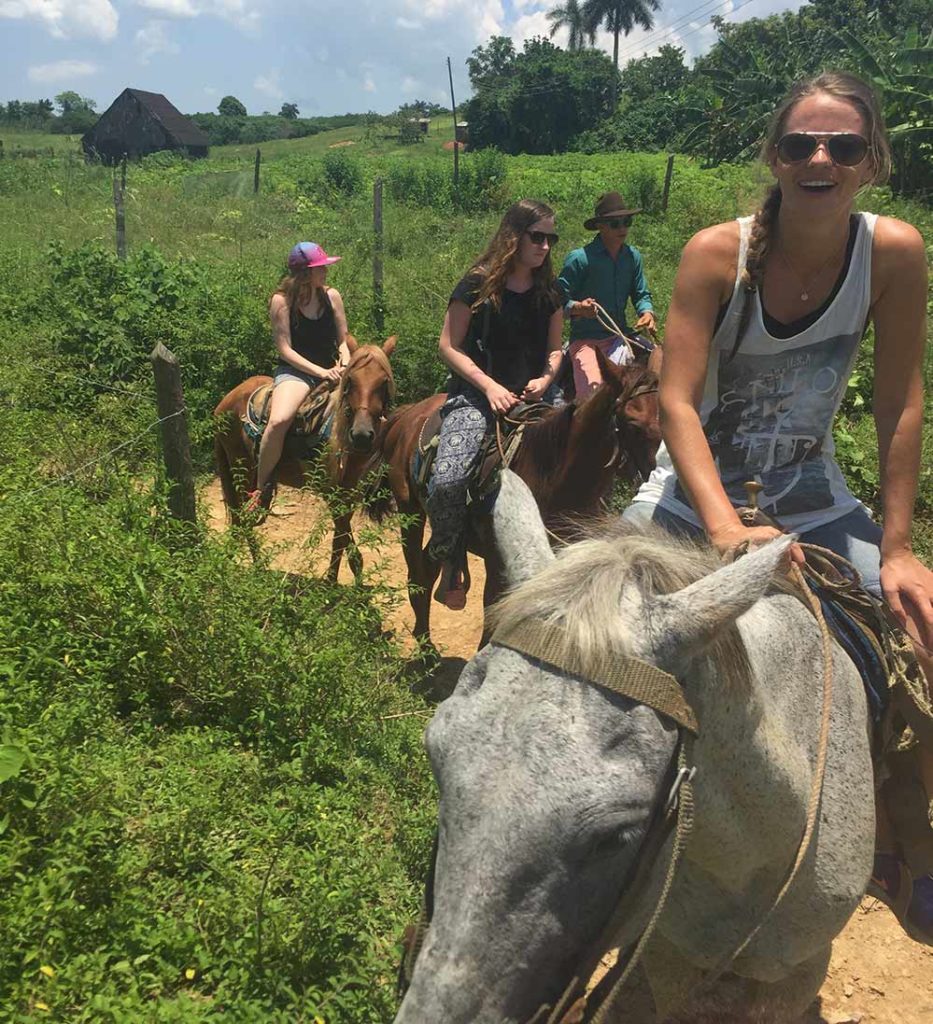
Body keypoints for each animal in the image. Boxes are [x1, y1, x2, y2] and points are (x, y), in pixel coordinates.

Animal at [213, 333, 395, 577]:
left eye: (384, 382)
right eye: (350, 381)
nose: (362, 435)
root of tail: (225, 402)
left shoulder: (350, 496)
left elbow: (344, 547)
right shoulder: (333, 496)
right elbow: (345, 544)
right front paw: (332, 583)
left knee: (241, 520)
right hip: (240, 468)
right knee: (242, 519)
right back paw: (252, 566)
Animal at [374, 346, 659, 647]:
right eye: (632, 423)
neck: (552, 479)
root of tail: (408, 413)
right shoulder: (498, 569)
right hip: (410, 513)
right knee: (418, 577)